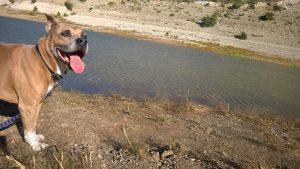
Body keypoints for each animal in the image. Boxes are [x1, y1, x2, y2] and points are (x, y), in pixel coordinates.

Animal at [0, 14, 87, 151]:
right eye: (66, 33)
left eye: (84, 35)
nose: (83, 41)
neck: (43, 60)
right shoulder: (28, 106)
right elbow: (29, 127)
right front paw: (34, 144)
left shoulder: (38, 103)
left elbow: (33, 123)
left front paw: (35, 138)